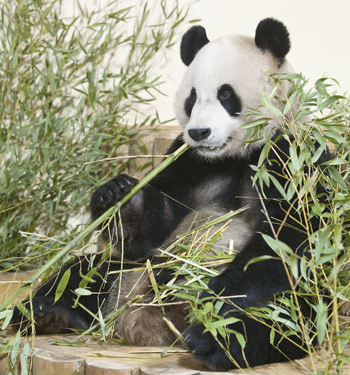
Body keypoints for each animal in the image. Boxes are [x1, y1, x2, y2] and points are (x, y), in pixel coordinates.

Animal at [10, 18, 330, 374]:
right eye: (192, 97)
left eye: (226, 94)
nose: (199, 132)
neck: (232, 157)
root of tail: (153, 329)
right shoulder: (186, 159)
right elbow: (155, 226)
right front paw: (118, 194)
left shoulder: (291, 156)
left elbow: (290, 235)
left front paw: (212, 297)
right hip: (128, 273)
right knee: (86, 270)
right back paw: (43, 311)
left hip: (296, 305)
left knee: (282, 318)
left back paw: (213, 340)